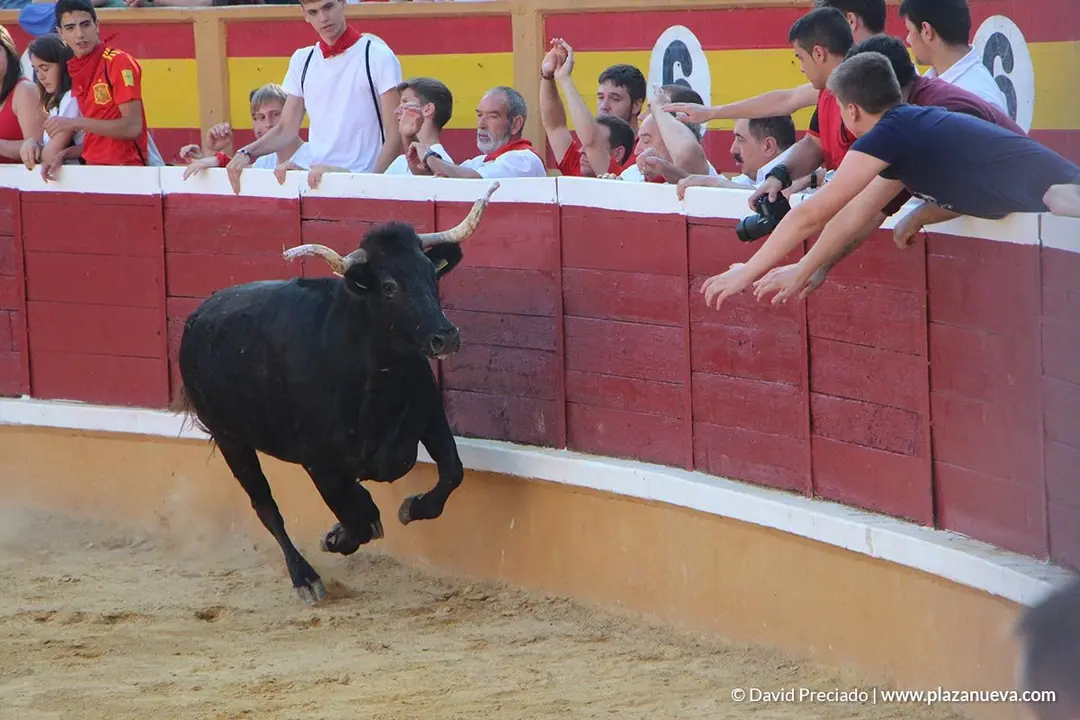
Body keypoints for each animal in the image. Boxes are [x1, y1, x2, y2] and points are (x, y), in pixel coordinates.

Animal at [174, 182, 500, 604]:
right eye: (390, 286)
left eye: (432, 275)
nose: (446, 337)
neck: (379, 376)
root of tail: (197, 316)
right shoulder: (321, 464)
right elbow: (358, 518)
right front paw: (336, 537)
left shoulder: (430, 418)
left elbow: (451, 472)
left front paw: (410, 508)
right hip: (230, 438)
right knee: (266, 506)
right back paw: (305, 578)